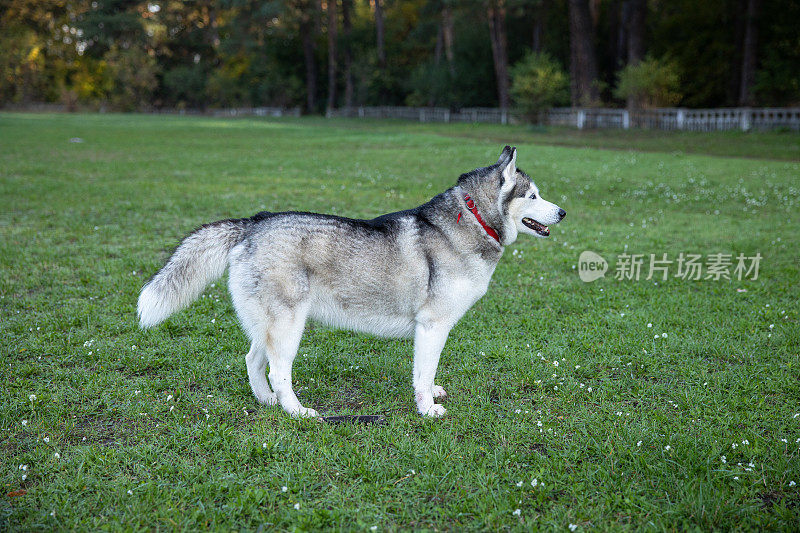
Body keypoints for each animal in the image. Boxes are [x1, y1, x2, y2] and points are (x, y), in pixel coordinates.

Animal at [138, 145, 564, 416]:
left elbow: (426, 372)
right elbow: (423, 373)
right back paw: (297, 412)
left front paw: (430, 396)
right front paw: (427, 409)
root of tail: (256, 221)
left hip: (269, 325)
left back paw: (268, 402)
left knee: (253, 361)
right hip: (289, 326)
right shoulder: (432, 325)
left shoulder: (432, 330)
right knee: (279, 372)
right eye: (533, 195)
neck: (473, 218)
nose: (562, 212)